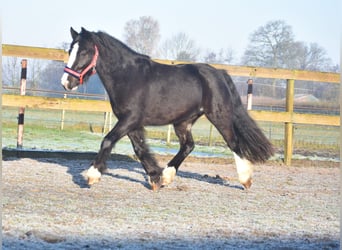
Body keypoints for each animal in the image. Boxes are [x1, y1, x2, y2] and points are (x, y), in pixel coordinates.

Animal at [61, 27, 274, 190]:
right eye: (71, 50)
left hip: (218, 116)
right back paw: (168, 175)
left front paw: (92, 175)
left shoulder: (130, 119)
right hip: (183, 121)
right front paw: (156, 178)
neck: (128, 76)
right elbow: (140, 149)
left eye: (84, 52)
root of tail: (219, 74)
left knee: (234, 143)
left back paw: (246, 180)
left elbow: (107, 141)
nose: (66, 82)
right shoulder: (131, 122)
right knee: (188, 145)